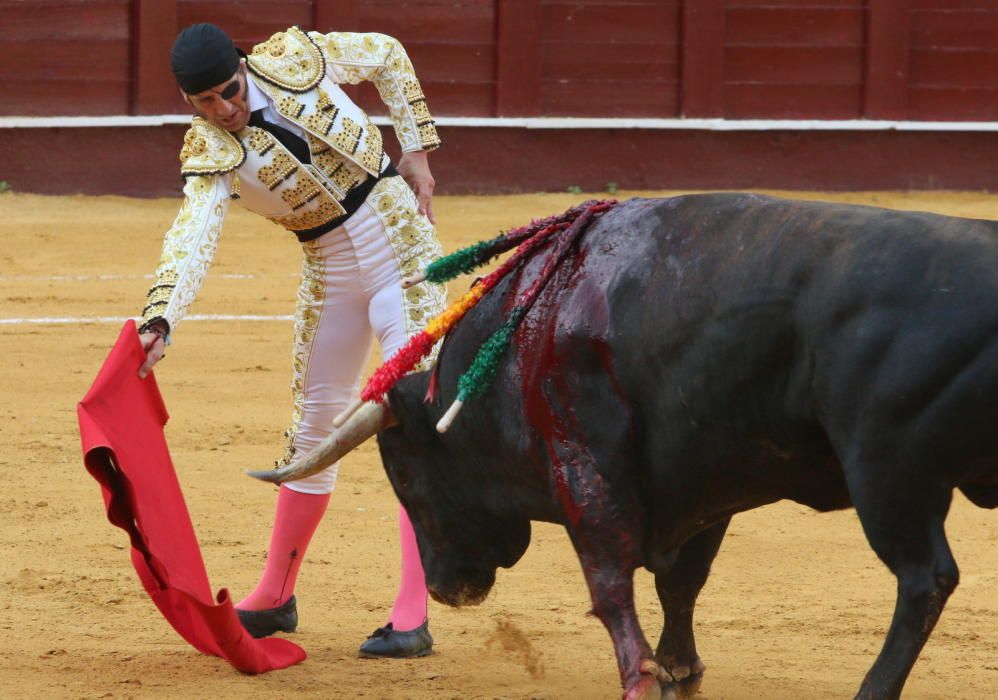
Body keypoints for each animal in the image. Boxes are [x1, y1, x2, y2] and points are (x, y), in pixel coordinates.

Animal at [272, 196, 998, 700]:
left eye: (403, 470)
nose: (449, 589)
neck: (528, 325)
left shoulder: (584, 462)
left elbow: (610, 578)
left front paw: (642, 676)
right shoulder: (707, 477)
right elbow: (682, 579)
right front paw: (679, 668)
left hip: (888, 475)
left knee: (923, 580)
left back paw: (872, 689)